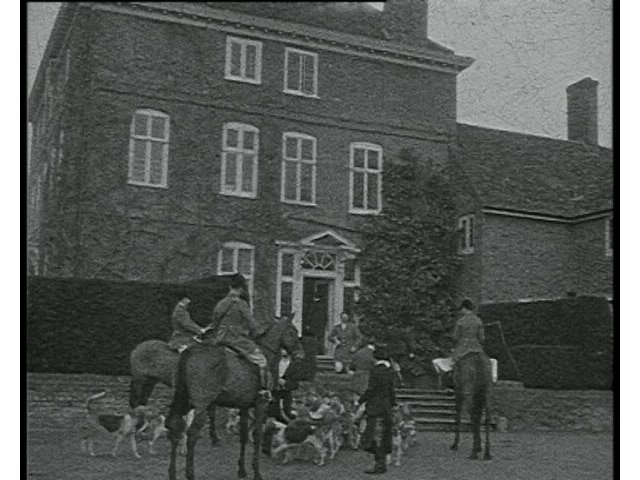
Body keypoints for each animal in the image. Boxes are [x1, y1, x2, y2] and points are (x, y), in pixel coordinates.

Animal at [166, 315, 304, 480]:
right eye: (292, 332)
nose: (300, 354)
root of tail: (190, 351)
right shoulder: (261, 404)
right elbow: (257, 435)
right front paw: (256, 472)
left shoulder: (243, 406)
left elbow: (243, 436)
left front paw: (242, 470)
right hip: (201, 405)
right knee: (192, 434)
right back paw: (190, 473)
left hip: (185, 401)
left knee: (175, 427)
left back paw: (172, 473)